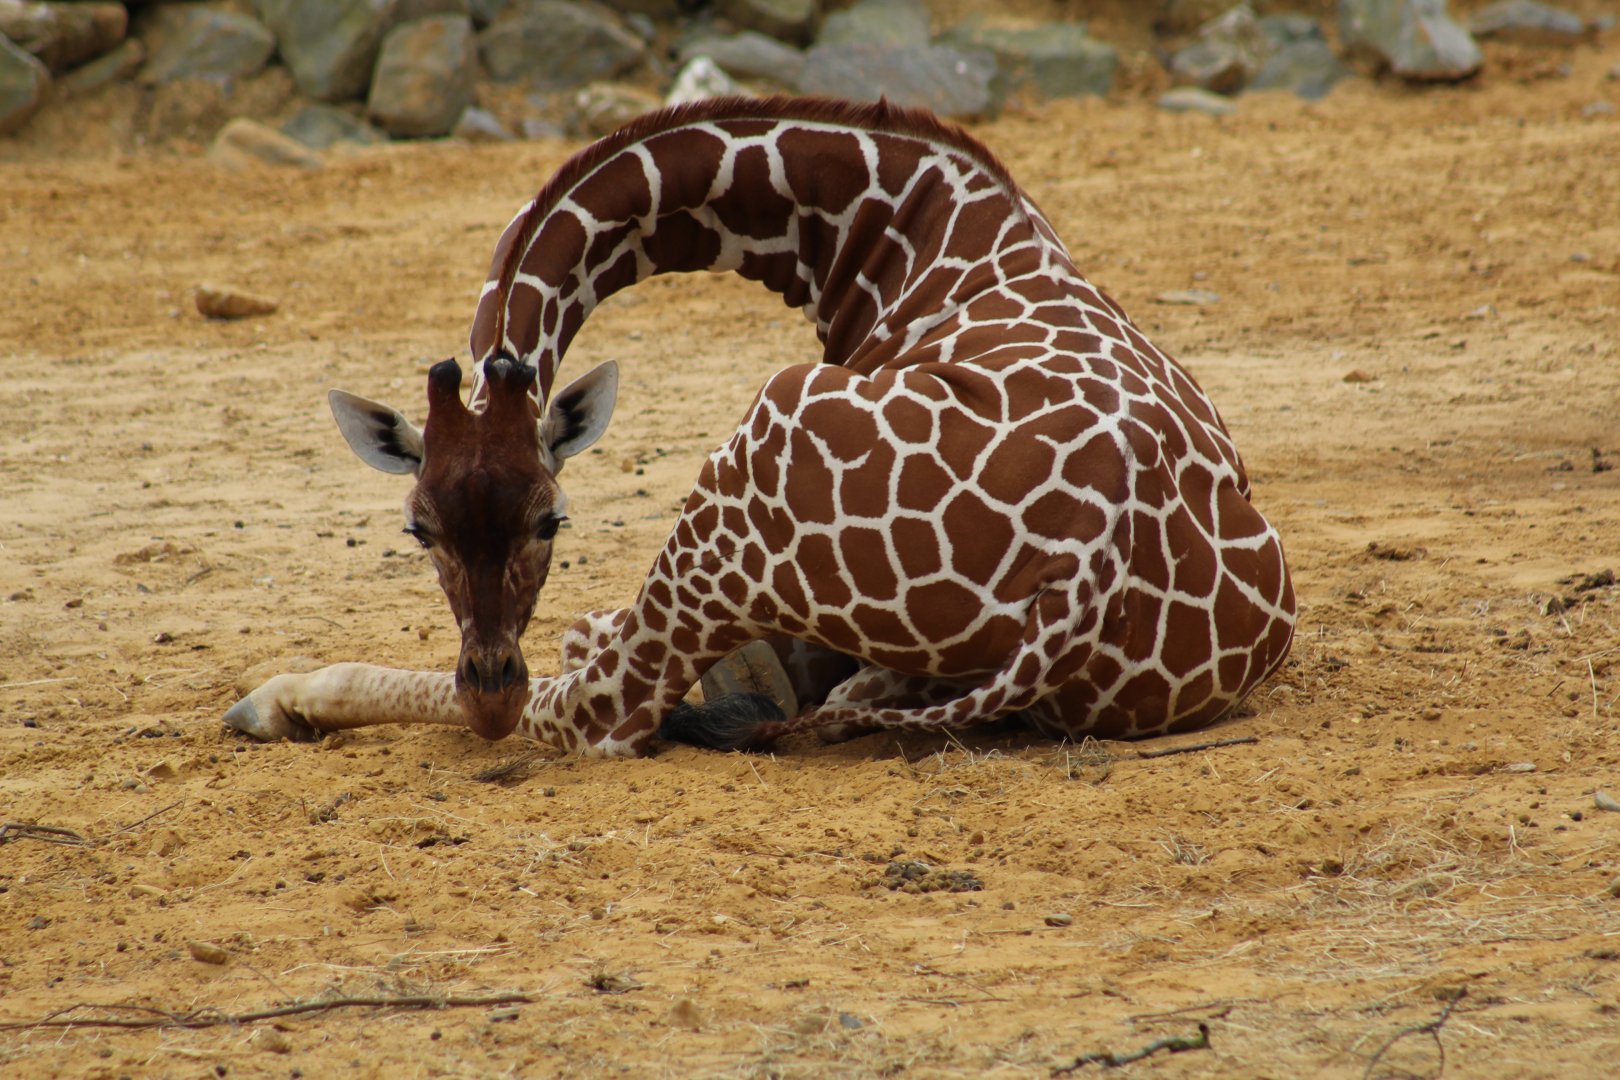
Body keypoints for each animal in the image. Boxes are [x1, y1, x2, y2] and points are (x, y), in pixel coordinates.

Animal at [224, 96, 1296, 757]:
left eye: (550, 520)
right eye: (421, 529)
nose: (488, 689)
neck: (891, 223)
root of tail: (1087, 571)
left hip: (743, 468)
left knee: (598, 710)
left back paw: (282, 698)